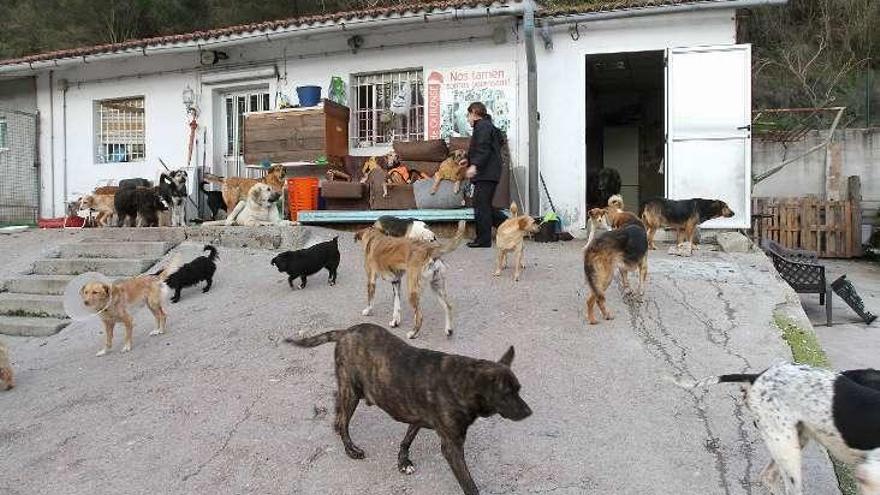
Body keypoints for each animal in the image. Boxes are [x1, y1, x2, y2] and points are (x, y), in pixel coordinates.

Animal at [286, 322, 528, 495]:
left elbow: (407, 439)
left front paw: (403, 462)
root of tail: (346, 331)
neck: (461, 383)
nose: (529, 412)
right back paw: (350, 448)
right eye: (507, 394)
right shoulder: (452, 447)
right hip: (351, 392)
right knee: (344, 421)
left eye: (518, 389)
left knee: (338, 412)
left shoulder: (416, 416)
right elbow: (468, 483)